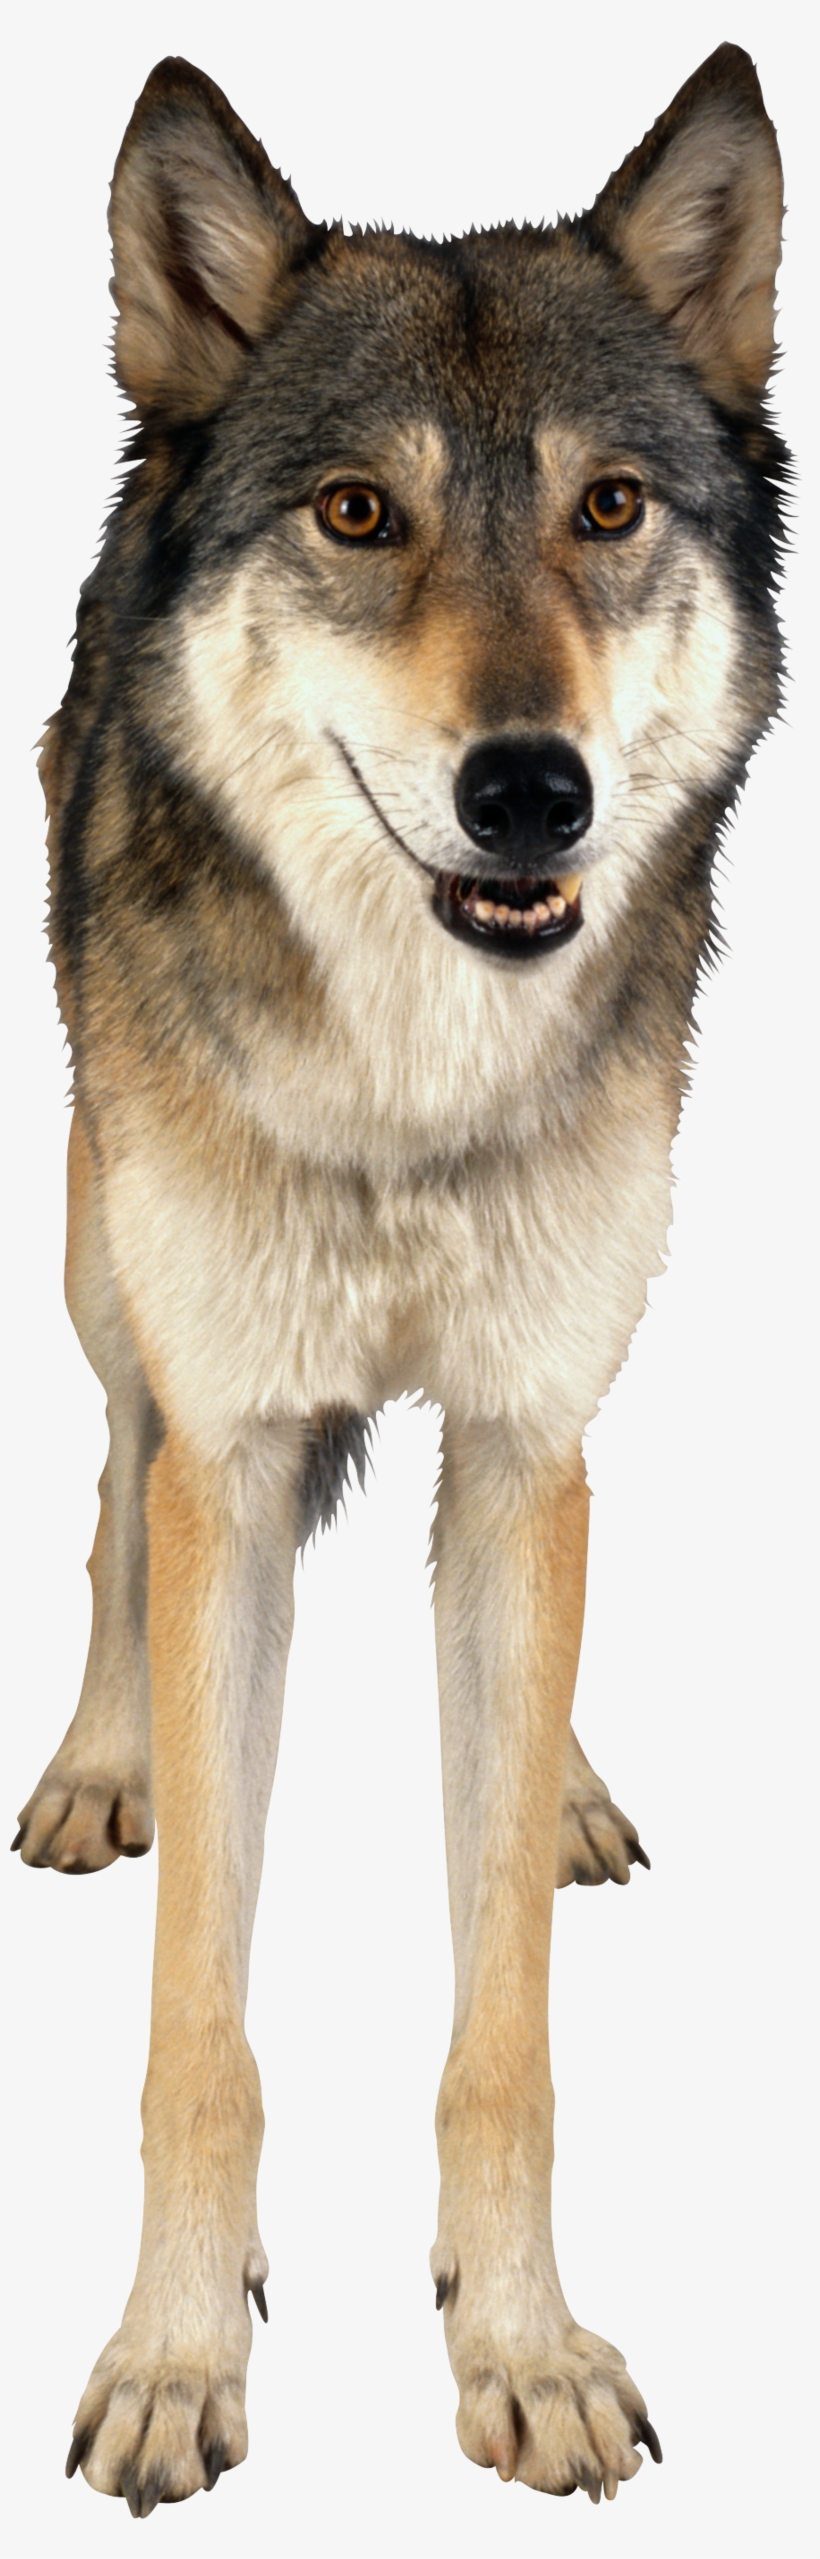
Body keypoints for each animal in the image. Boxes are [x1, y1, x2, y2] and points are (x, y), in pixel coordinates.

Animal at [12, 41, 786, 2512]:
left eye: (610, 507)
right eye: (359, 515)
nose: (530, 789)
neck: (411, 1085)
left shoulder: (531, 1420)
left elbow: (503, 2021)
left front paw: (519, 2347)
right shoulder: (242, 1441)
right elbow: (199, 2019)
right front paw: (174, 2358)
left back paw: (559, 1780)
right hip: (102, 1260)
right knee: (108, 1488)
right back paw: (102, 1758)